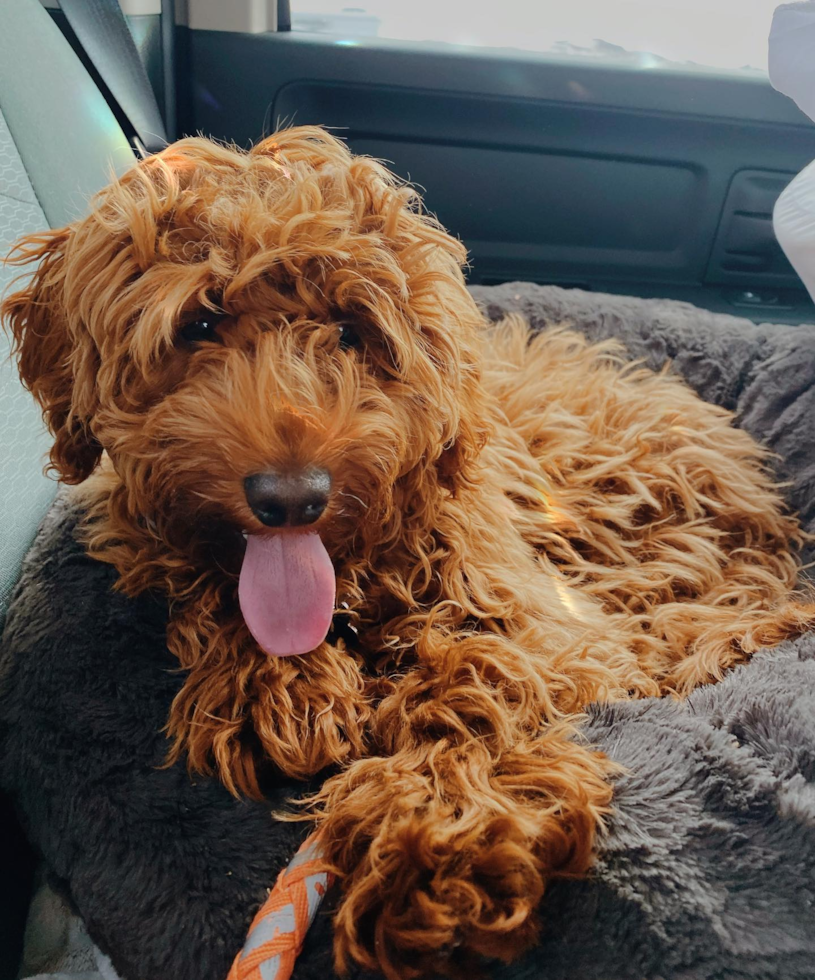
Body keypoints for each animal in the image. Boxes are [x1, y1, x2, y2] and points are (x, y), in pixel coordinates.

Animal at [6, 126, 815, 976]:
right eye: (198, 325)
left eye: (348, 330)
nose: (291, 500)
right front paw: (278, 687)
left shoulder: (542, 619)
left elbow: (485, 669)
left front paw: (438, 830)